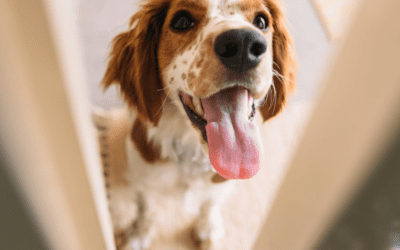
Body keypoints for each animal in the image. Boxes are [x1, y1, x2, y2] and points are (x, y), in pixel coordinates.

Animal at [102, 0, 296, 248]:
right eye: (182, 21)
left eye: (261, 21)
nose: (243, 43)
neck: (192, 152)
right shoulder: (144, 174)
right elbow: (146, 208)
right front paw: (138, 236)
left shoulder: (221, 182)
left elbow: (210, 203)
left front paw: (208, 230)